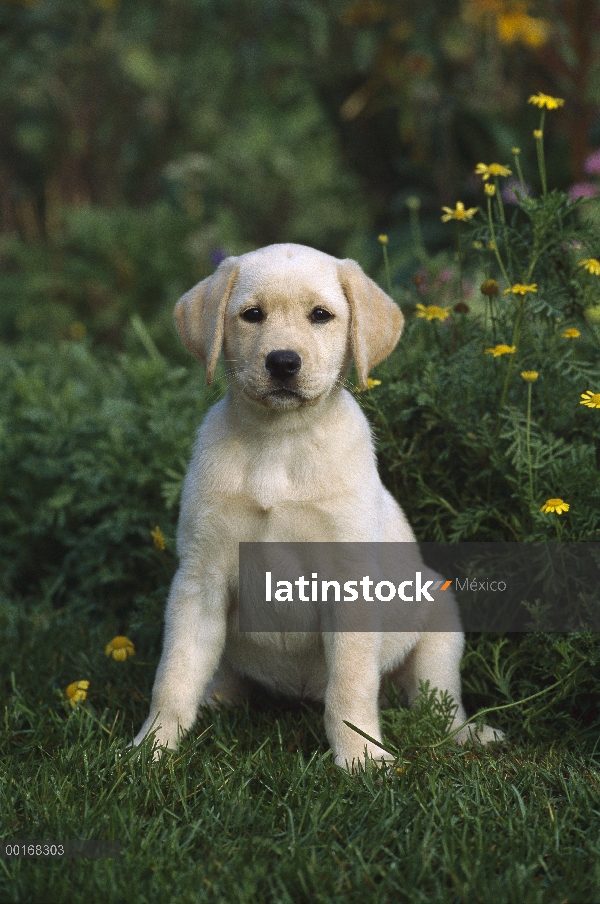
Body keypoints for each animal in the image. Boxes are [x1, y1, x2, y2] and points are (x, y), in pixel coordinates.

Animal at [132, 244, 502, 768]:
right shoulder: (200, 579)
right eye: (252, 315)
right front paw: (152, 749)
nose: (283, 362)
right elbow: (174, 678)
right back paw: (216, 700)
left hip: (439, 622)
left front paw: (361, 759)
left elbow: (349, 687)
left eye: (321, 315)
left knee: (438, 702)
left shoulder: (349, 585)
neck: (279, 442)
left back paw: (468, 734)